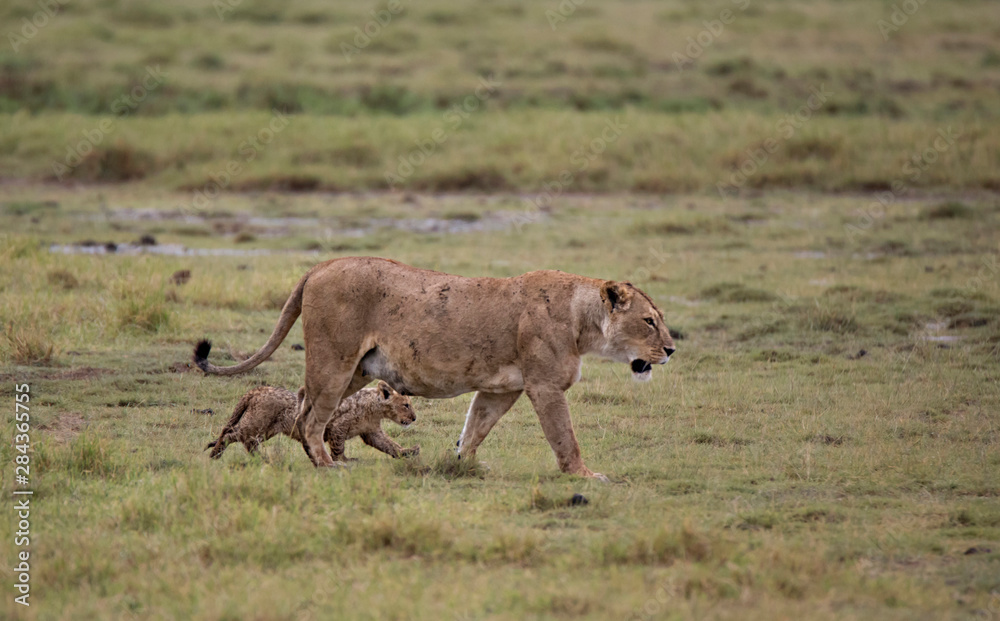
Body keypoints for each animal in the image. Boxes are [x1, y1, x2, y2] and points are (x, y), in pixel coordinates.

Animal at [204, 381, 419, 460]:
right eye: (406, 405)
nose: (414, 418)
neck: (374, 408)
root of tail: (256, 390)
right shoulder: (338, 427)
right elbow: (338, 448)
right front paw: (344, 461)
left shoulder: (372, 432)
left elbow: (390, 445)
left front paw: (409, 452)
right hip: (256, 424)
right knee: (232, 433)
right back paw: (216, 454)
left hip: (265, 430)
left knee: (247, 442)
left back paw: (261, 459)